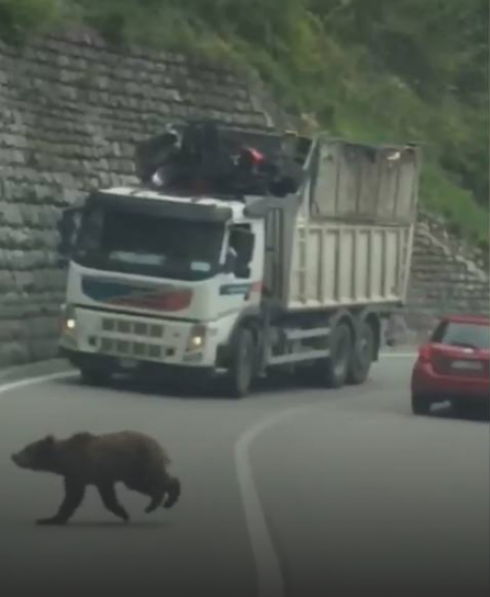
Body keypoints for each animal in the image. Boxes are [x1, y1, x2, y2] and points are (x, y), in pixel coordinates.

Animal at [10, 430, 182, 524]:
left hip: (140, 463)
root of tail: (159, 446)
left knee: (156, 480)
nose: (14, 456)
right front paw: (123, 513)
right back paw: (156, 502)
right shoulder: (101, 478)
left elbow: (73, 496)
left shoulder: (78, 471)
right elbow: (108, 497)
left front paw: (49, 519)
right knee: (146, 485)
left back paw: (163, 501)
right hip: (133, 472)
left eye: (27, 448)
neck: (63, 460)